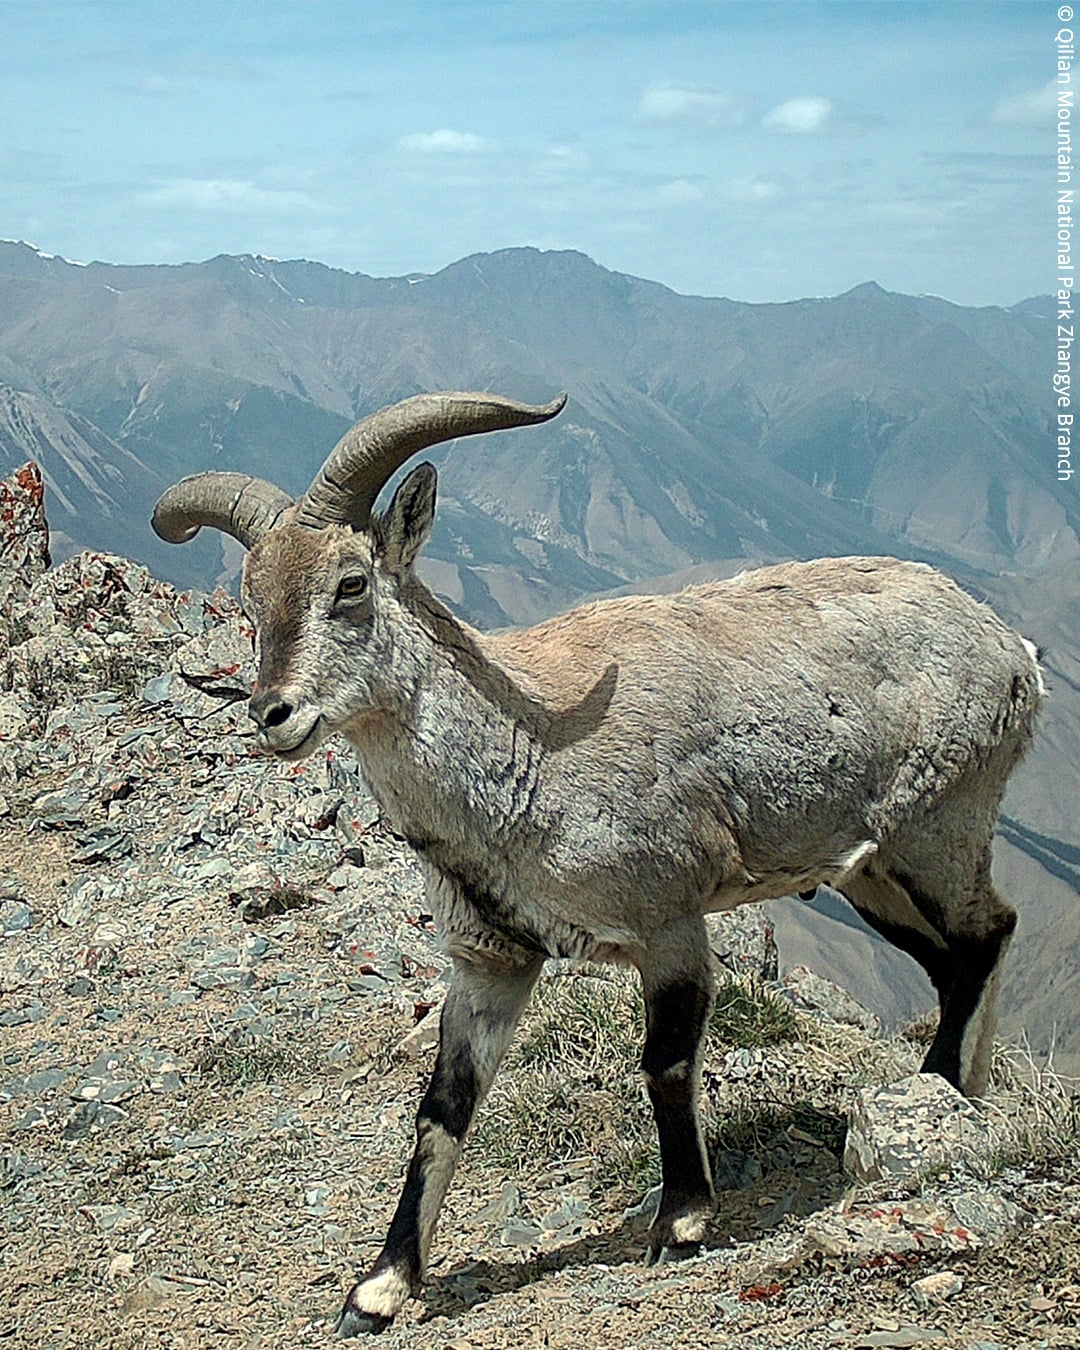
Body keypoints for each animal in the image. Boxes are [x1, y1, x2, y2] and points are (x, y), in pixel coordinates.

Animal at [152, 390, 1044, 1336]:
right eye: (251, 599)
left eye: (350, 584)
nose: (272, 713)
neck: (526, 763)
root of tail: (1012, 647)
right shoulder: (492, 957)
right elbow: (443, 1107)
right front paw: (381, 1288)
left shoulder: (668, 921)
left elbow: (666, 1062)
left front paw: (681, 1222)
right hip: (870, 870)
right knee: (957, 957)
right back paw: (953, 1089)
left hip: (939, 829)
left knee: (989, 932)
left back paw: (944, 1094)